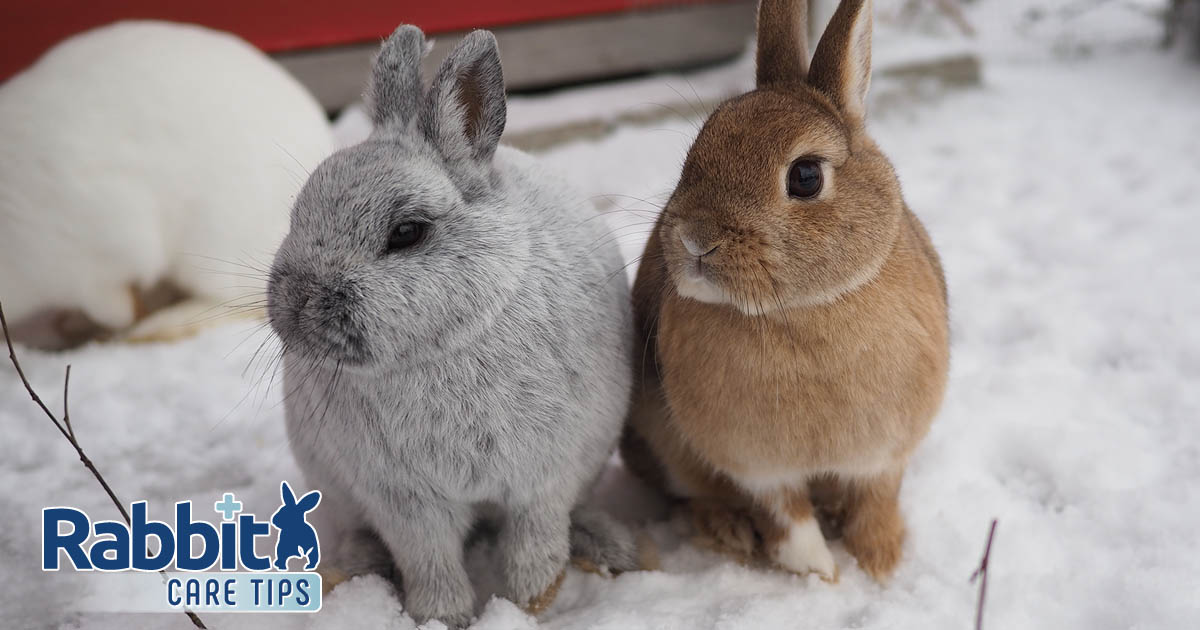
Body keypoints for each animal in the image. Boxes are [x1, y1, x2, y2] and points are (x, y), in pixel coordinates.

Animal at [0, 20, 336, 343]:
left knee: (237, 302)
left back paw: (156, 327)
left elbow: (115, 305)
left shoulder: (99, 255)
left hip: (216, 247)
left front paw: (126, 323)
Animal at [262, 23, 638, 624]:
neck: (442, 346)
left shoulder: (544, 478)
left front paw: (530, 606)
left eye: (406, 232)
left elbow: (534, 544)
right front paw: (444, 618)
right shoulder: (405, 502)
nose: (296, 309)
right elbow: (430, 561)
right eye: (298, 213)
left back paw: (609, 546)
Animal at [619, 0, 945, 583]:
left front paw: (880, 563)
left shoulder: (884, 454)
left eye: (806, 176)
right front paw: (822, 574)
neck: (804, 309)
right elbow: (787, 517)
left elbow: (877, 498)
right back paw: (727, 530)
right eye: (697, 148)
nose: (695, 238)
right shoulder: (755, 464)